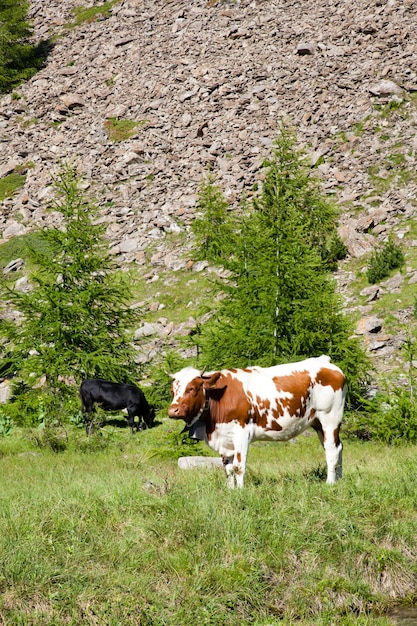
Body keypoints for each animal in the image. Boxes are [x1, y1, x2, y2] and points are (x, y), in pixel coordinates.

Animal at [167, 354, 346, 486]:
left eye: (192, 388)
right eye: (172, 391)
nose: (173, 410)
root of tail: (324, 362)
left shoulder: (242, 433)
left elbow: (238, 467)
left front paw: (240, 492)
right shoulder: (225, 438)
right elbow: (228, 469)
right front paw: (230, 491)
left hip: (330, 417)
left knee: (332, 449)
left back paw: (330, 483)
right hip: (317, 423)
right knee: (337, 447)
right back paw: (339, 480)